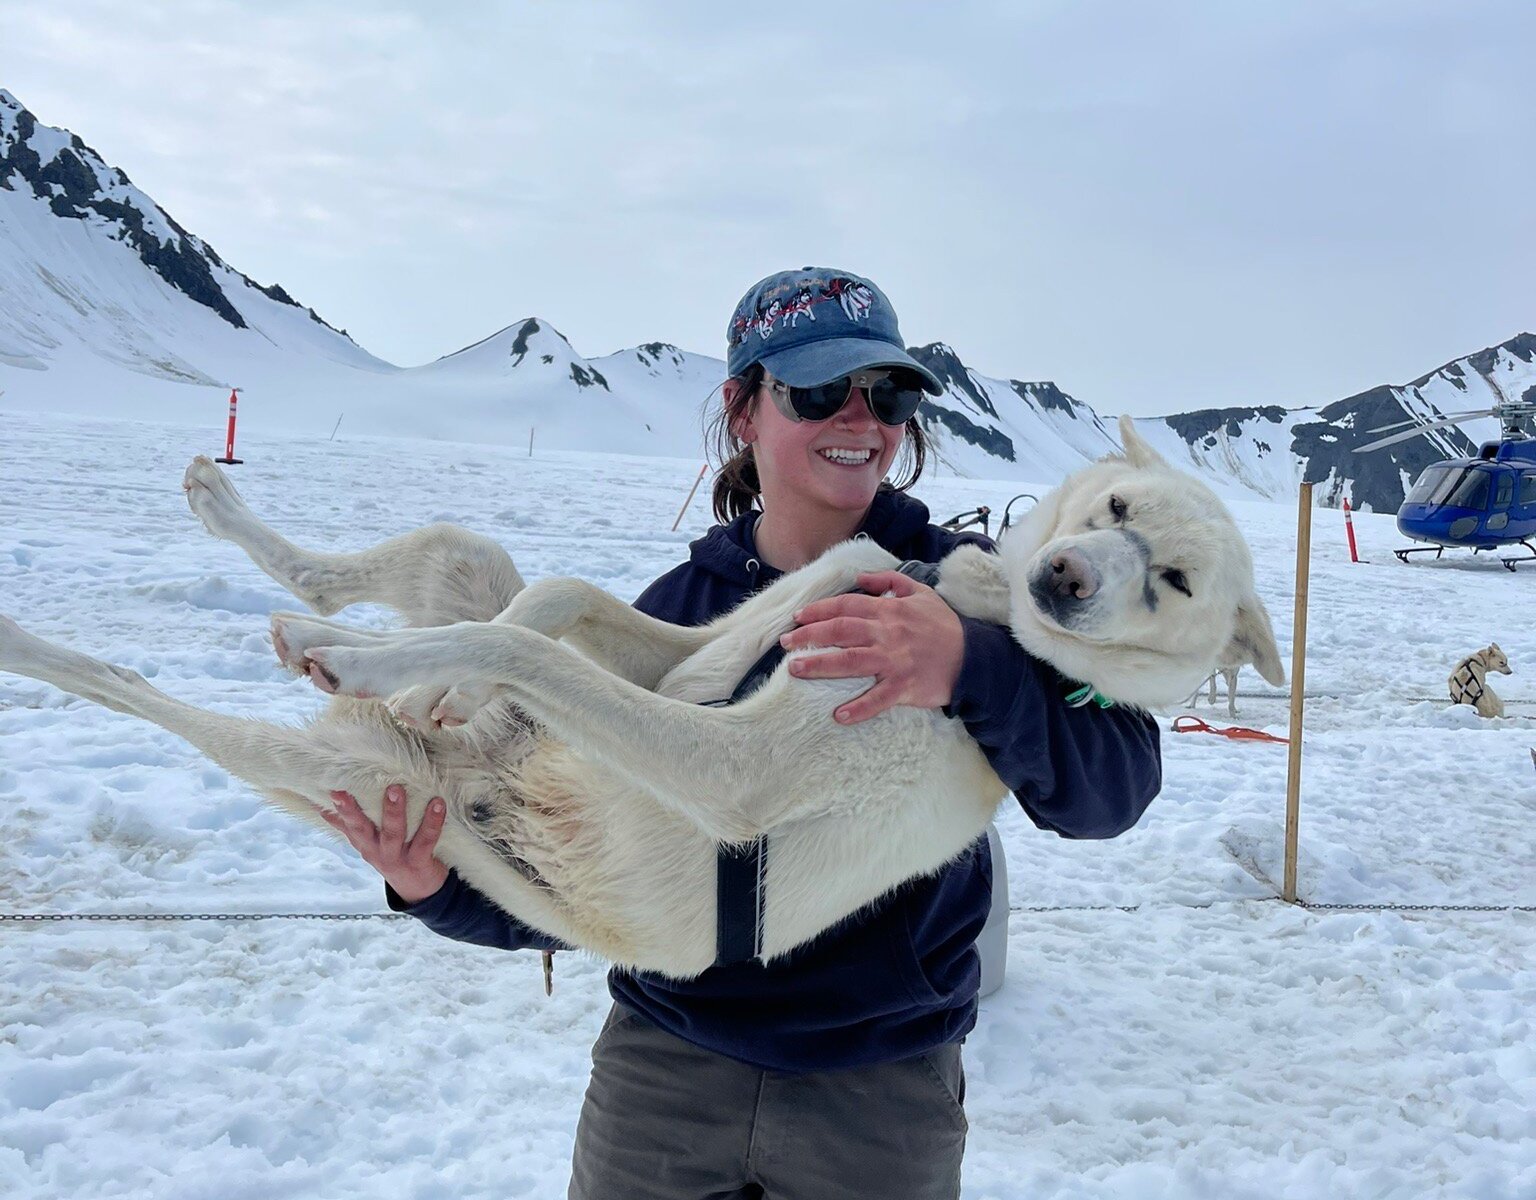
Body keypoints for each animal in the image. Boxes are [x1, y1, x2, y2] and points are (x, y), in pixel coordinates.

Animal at [0, 417, 1284, 977]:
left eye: (1174, 582)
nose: (1065, 579)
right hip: (458, 560)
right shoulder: (704, 646)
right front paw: (454, 683)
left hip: (328, 767)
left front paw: (405, 671)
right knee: (424, 569)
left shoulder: (731, 771)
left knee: (137, 690)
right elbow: (559, 611)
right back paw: (258, 549)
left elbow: (535, 652)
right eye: (1115, 510)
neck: (964, 606)